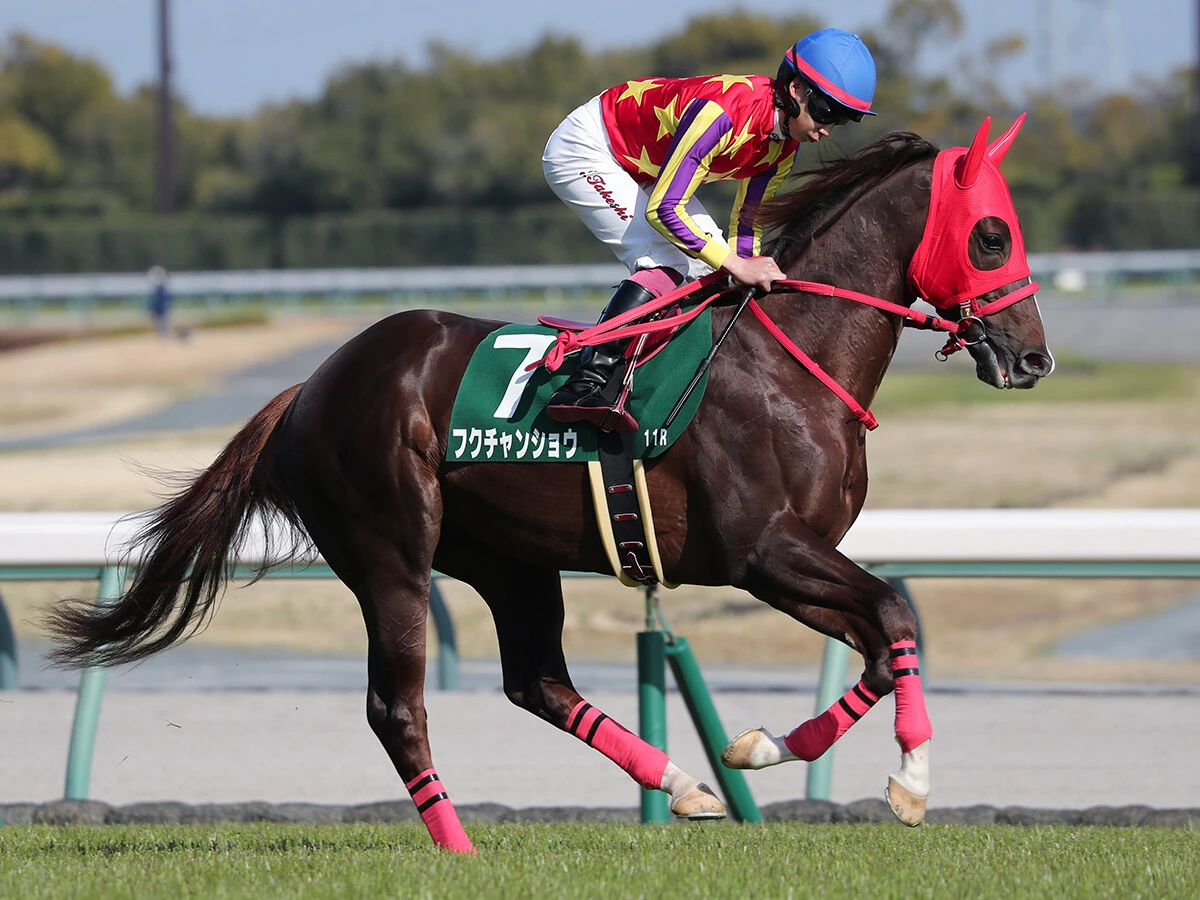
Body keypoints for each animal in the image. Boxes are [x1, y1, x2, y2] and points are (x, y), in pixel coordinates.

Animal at [46, 116, 1054, 852]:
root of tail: (313, 385)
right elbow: (891, 612)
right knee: (396, 705)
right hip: (390, 551)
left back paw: (682, 784)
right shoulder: (762, 552)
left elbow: (887, 640)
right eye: (992, 235)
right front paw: (911, 782)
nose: (1033, 358)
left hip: (509, 560)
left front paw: (760, 750)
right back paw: (457, 844)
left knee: (538, 683)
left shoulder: (792, 558)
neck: (787, 362)